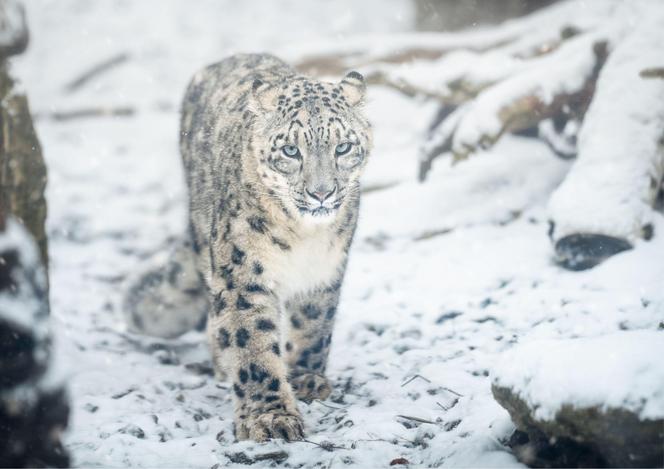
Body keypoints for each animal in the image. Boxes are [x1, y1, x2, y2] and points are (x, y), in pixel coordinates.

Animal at [123, 53, 374, 440]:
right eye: (291, 150)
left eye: (343, 146)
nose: (321, 192)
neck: (305, 237)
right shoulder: (244, 274)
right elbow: (252, 342)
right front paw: (270, 418)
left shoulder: (325, 270)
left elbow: (314, 325)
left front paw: (307, 379)